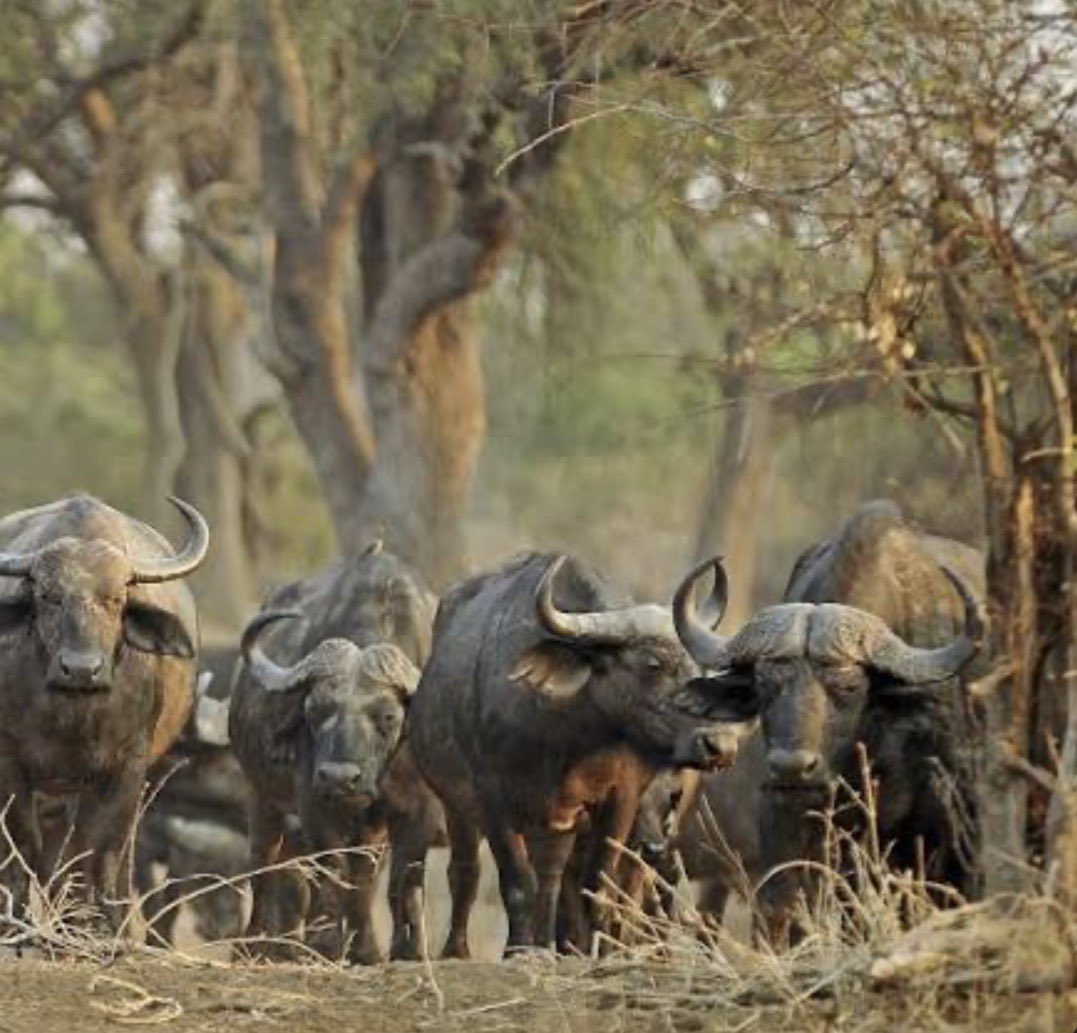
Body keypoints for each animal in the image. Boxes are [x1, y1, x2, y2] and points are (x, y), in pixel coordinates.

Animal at [0, 494, 208, 928]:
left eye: (115, 599)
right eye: (48, 596)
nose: (81, 668)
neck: (73, 713)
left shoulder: (127, 768)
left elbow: (102, 851)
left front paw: (100, 925)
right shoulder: (9, 761)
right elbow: (23, 845)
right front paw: (19, 922)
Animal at [404, 552, 758, 958]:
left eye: (699, 668)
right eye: (652, 663)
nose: (720, 745)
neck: (565, 735)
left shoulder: (620, 799)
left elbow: (597, 885)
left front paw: (598, 949)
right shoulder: (493, 798)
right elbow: (516, 882)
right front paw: (517, 951)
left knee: (552, 875)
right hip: (459, 805)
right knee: (466, 872)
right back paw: (459, 950)